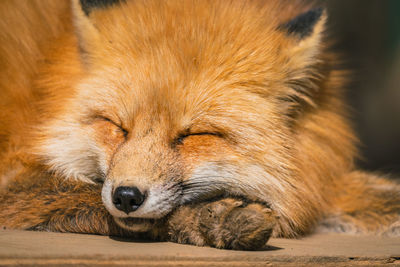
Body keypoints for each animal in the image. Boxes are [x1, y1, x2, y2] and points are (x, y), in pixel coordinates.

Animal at [0, 0, 398, 251]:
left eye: (194, 135)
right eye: (117, 126)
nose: (126, 196)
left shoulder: (318, 179)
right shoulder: (14, 178)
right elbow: (86, 195)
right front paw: (217, 219)